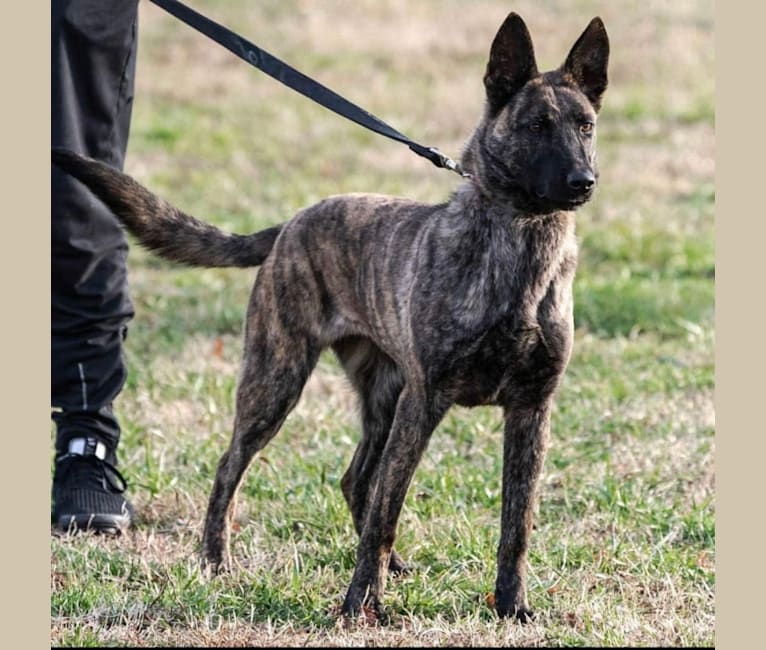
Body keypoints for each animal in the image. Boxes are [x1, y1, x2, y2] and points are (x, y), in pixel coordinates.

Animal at [51, 11, 608, 616]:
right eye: (535, 126)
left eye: (585, 126)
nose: (583, 183)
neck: (521, 245)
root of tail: (292, 223)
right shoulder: (425, 400)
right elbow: (388, 512)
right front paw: (359, 605)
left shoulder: (531, 410)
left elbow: (516, 523)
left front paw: (510, 605)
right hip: (278, 381)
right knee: (234, 468)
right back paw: (216, 561)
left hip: (382, 400)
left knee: (355, 479)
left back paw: (392, 565)